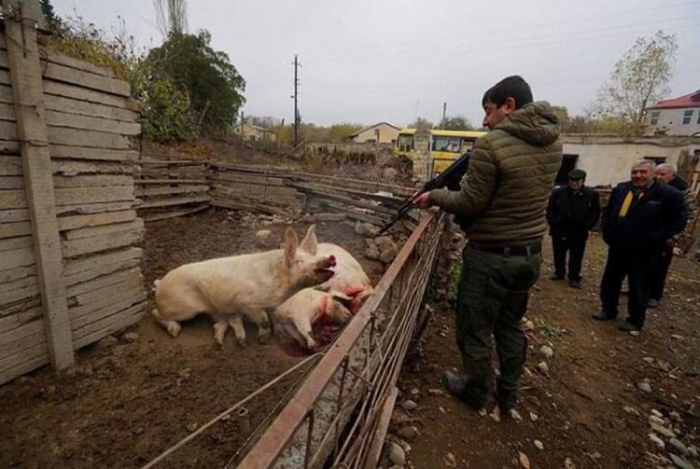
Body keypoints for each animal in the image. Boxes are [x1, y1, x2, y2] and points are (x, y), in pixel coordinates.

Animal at [151, 225, 336, 346]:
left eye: (313, 257)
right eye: (299, 261)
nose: (330, 258)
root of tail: (161, 283)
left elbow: (273, 317)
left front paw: (278, 335)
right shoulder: (246, 303)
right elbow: (263, 319)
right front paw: (262, 340)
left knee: (220, 323)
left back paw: (221, 341)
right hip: (182, 308)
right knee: (155, 313)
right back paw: (175, 331)